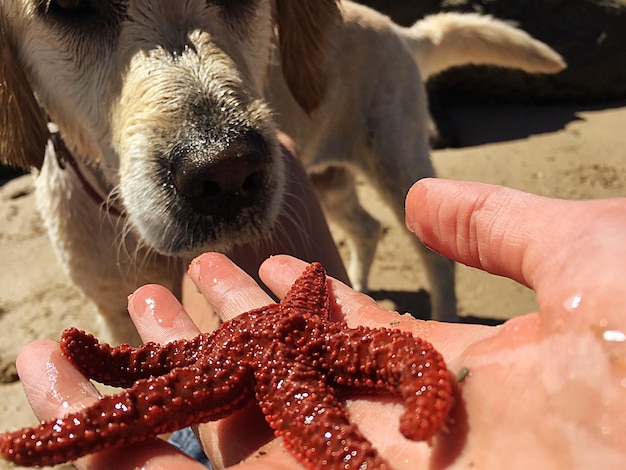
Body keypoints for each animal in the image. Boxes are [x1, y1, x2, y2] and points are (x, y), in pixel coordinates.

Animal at [0, 0, 564, 342]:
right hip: (327, 181)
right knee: (366, 227)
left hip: (398, 165)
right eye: (68, 6)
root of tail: (402, 31)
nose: (227, 172)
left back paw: (442, 317)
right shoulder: (112, 309)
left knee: (434, 256)